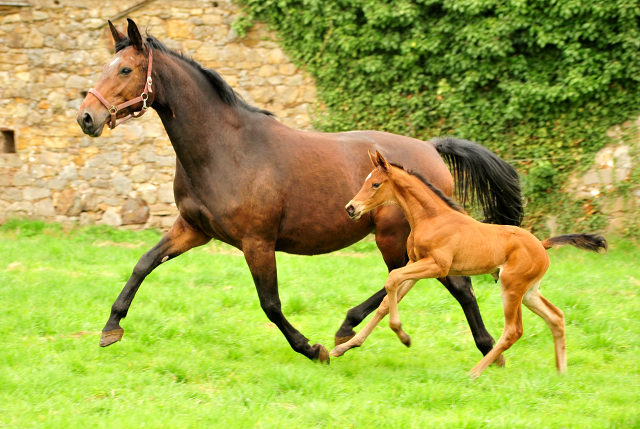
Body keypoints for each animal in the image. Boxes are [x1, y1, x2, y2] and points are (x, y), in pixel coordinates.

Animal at [76, 19, 524, 362]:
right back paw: (353, 329)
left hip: (393, 235)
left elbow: (271, 304)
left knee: (441, 283)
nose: (86, 117)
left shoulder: (257, 242)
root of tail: (431, 150)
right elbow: (143, 264)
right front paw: (111, 328)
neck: (224, 149)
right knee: (407, 280)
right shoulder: (193, 229)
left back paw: (481, 347)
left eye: (125, 70)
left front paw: (311, 349)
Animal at [332, 150, 608, 374]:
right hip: (529, 292)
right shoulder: (415, 264)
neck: (431, 218)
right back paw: (561, 372)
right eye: (365, 181)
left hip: (511, 286)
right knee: (556, 317)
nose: (351, 208)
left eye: (376, 184)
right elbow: (386, 302)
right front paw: (345, 346)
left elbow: (391, 280)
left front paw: (403, 336)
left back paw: (475, 372)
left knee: (513, 330)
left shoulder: (438, 266)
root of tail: (541, 244)